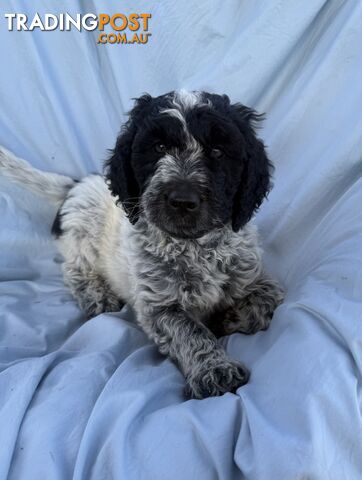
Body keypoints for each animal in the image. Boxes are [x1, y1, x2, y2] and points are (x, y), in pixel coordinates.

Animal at [0, 89, 282, 398]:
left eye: (218, 152)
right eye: (158, 147)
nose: (182, 200)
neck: (194, 246)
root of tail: (76, 184)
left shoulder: (251, 274)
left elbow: (267, 299)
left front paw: (230, 318)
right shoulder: (159, 306)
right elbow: (189, 331)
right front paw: (215, 369)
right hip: (82, 233)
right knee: (74, 269)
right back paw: (97, 295)